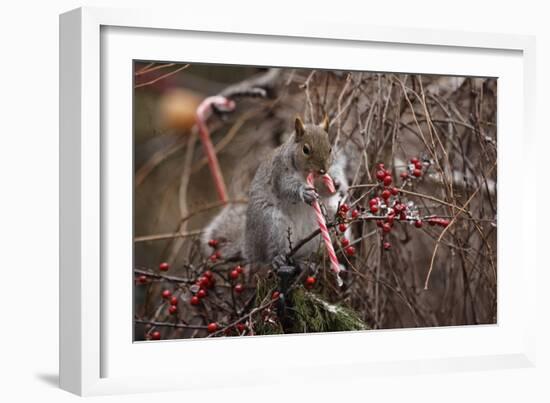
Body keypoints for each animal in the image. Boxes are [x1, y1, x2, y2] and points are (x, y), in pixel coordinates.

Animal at [203, 116, 350, 268]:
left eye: (330, 149)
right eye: (305, 149)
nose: (323, 170)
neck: (306, 175)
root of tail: (249, 248)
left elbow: (326, 190)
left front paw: (338, 183)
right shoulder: (279, 173)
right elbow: (286, 188)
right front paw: (304, 192)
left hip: (329, 217)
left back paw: (312, 261)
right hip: (271, 224)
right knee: (270, 255)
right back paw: (278, 258)